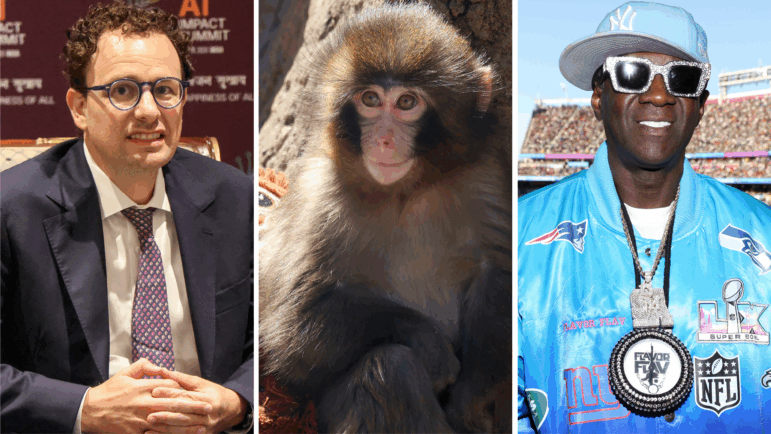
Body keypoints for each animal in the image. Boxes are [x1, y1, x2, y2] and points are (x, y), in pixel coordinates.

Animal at [259, 3, 512, 433]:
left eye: (407, 103)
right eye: (371, 99)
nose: (383, 139)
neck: (405, 193)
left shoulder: (483, 177)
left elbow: (498, 273)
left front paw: (473, 397)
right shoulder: (319, 196)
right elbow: (292, 326)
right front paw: (426, 340)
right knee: (390, 370)